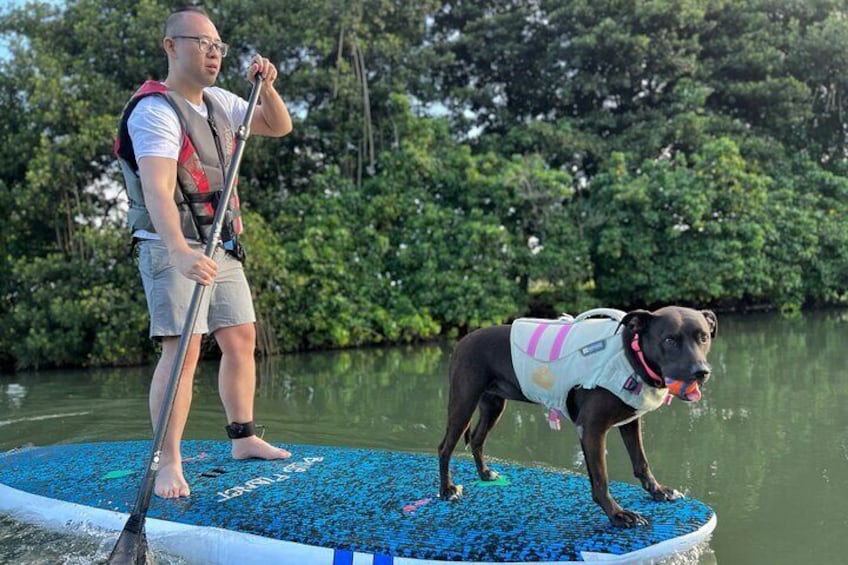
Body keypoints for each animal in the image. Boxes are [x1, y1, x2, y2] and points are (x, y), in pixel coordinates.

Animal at [440, 306, 720, 528]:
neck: (631, 355)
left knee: (477, 439)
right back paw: (447, 490)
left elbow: (641, 462)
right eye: (670, 340)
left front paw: (658, 491)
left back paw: (485, 474)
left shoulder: (630, 421)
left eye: (704, 337)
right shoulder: (592, 428)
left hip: (493, 405)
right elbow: (600, 478)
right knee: (445, 446)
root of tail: (463, 341)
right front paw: (618, 515)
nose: (701, 372)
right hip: (463, 403)